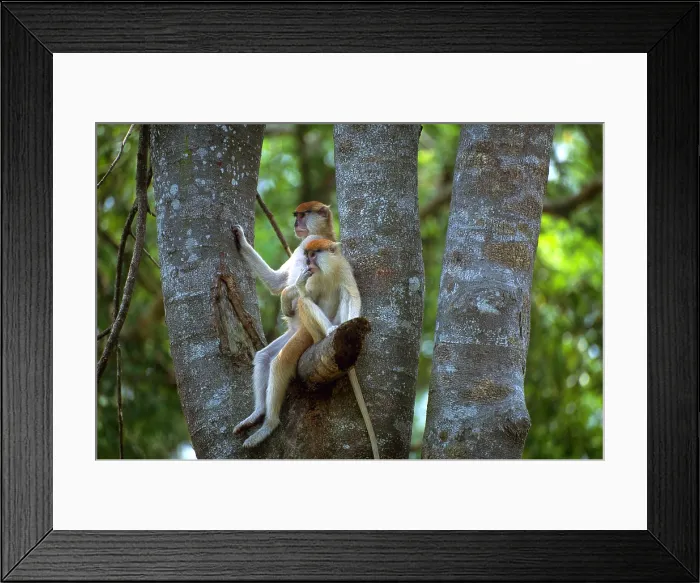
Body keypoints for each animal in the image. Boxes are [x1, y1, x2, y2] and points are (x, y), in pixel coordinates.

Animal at [230, 202, 336, 435]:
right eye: (296, 215)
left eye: (303, 215)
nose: (296, 223)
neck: (315, 233)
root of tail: (298, 330)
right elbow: (277, 282)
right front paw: (240, 240)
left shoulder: (317, 251)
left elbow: (309, 286)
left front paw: (287, 299)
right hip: (293, 334)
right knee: (263, 357)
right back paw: (257, 413)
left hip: (305, 334)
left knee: (280, 362)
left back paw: (268, 425)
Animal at [239, 237, 380, 459]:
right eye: (307, 255)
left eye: (313, 254)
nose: (307, 262)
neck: (327, 270)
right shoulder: (312, 277)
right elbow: (302, 294)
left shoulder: (343, 268)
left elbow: (352, 295)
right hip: (305, 332)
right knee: (267, 355)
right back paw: (259, 414)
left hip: (304, 335)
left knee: (280, 362)